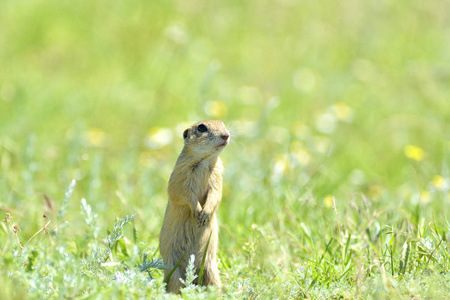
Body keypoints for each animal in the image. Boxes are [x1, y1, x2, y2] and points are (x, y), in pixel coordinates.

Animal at [159, 119, 230, 292]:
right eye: (202, 127)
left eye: (223, 123)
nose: (226, 135)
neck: (205, 160)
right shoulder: (180, 173)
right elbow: (182, 193)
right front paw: (198, 211)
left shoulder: (217, 175)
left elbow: (215, 193)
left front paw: (205, 214)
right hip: (174, 273)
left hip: (211, 270)